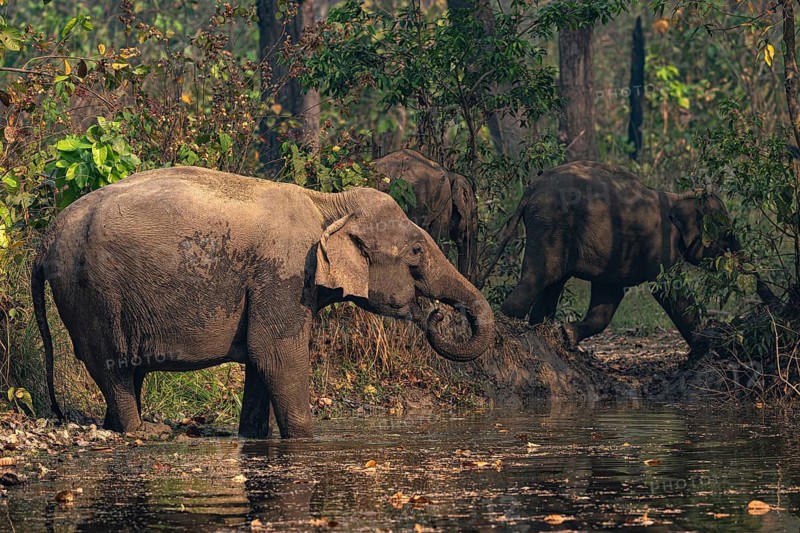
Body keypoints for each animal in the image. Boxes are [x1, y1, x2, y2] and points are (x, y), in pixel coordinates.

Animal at [31, 166, 494, 438]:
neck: (327, 204)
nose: (437, 314)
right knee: (110, 366)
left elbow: (260, 360)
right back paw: (145, 434)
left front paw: (253, 438)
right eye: (416, 251)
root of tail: (46, 239)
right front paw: (306, 441)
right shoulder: (283, 273)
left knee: (128, 370)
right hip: (92, 294)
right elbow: (276, 353)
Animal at [485, 160, 769, 347]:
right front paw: (706, 343)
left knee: (553, 282)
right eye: (729, 235)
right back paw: (504, 327)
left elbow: (607, 298)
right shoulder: (663, 247)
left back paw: (542, 331)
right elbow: (667, 289)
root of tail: (531, 190)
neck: (680, 196)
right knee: (538, 278)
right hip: (550, 224)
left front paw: (567, 335)